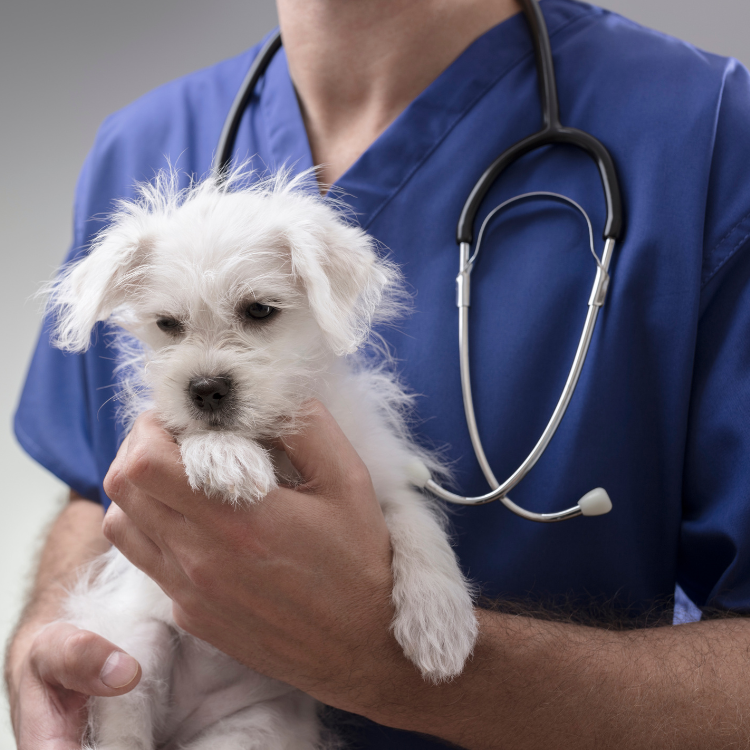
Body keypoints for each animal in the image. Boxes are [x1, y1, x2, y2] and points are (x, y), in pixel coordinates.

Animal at [47, 172, 478, 750]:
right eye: (167, 324)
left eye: (259, 311)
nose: (205, 388)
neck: (269, 438)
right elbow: (192, 435)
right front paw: (224, 455)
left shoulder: (379, 480)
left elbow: (417, 524)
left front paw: (439, 621)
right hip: (133, 648)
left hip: (252, 729)